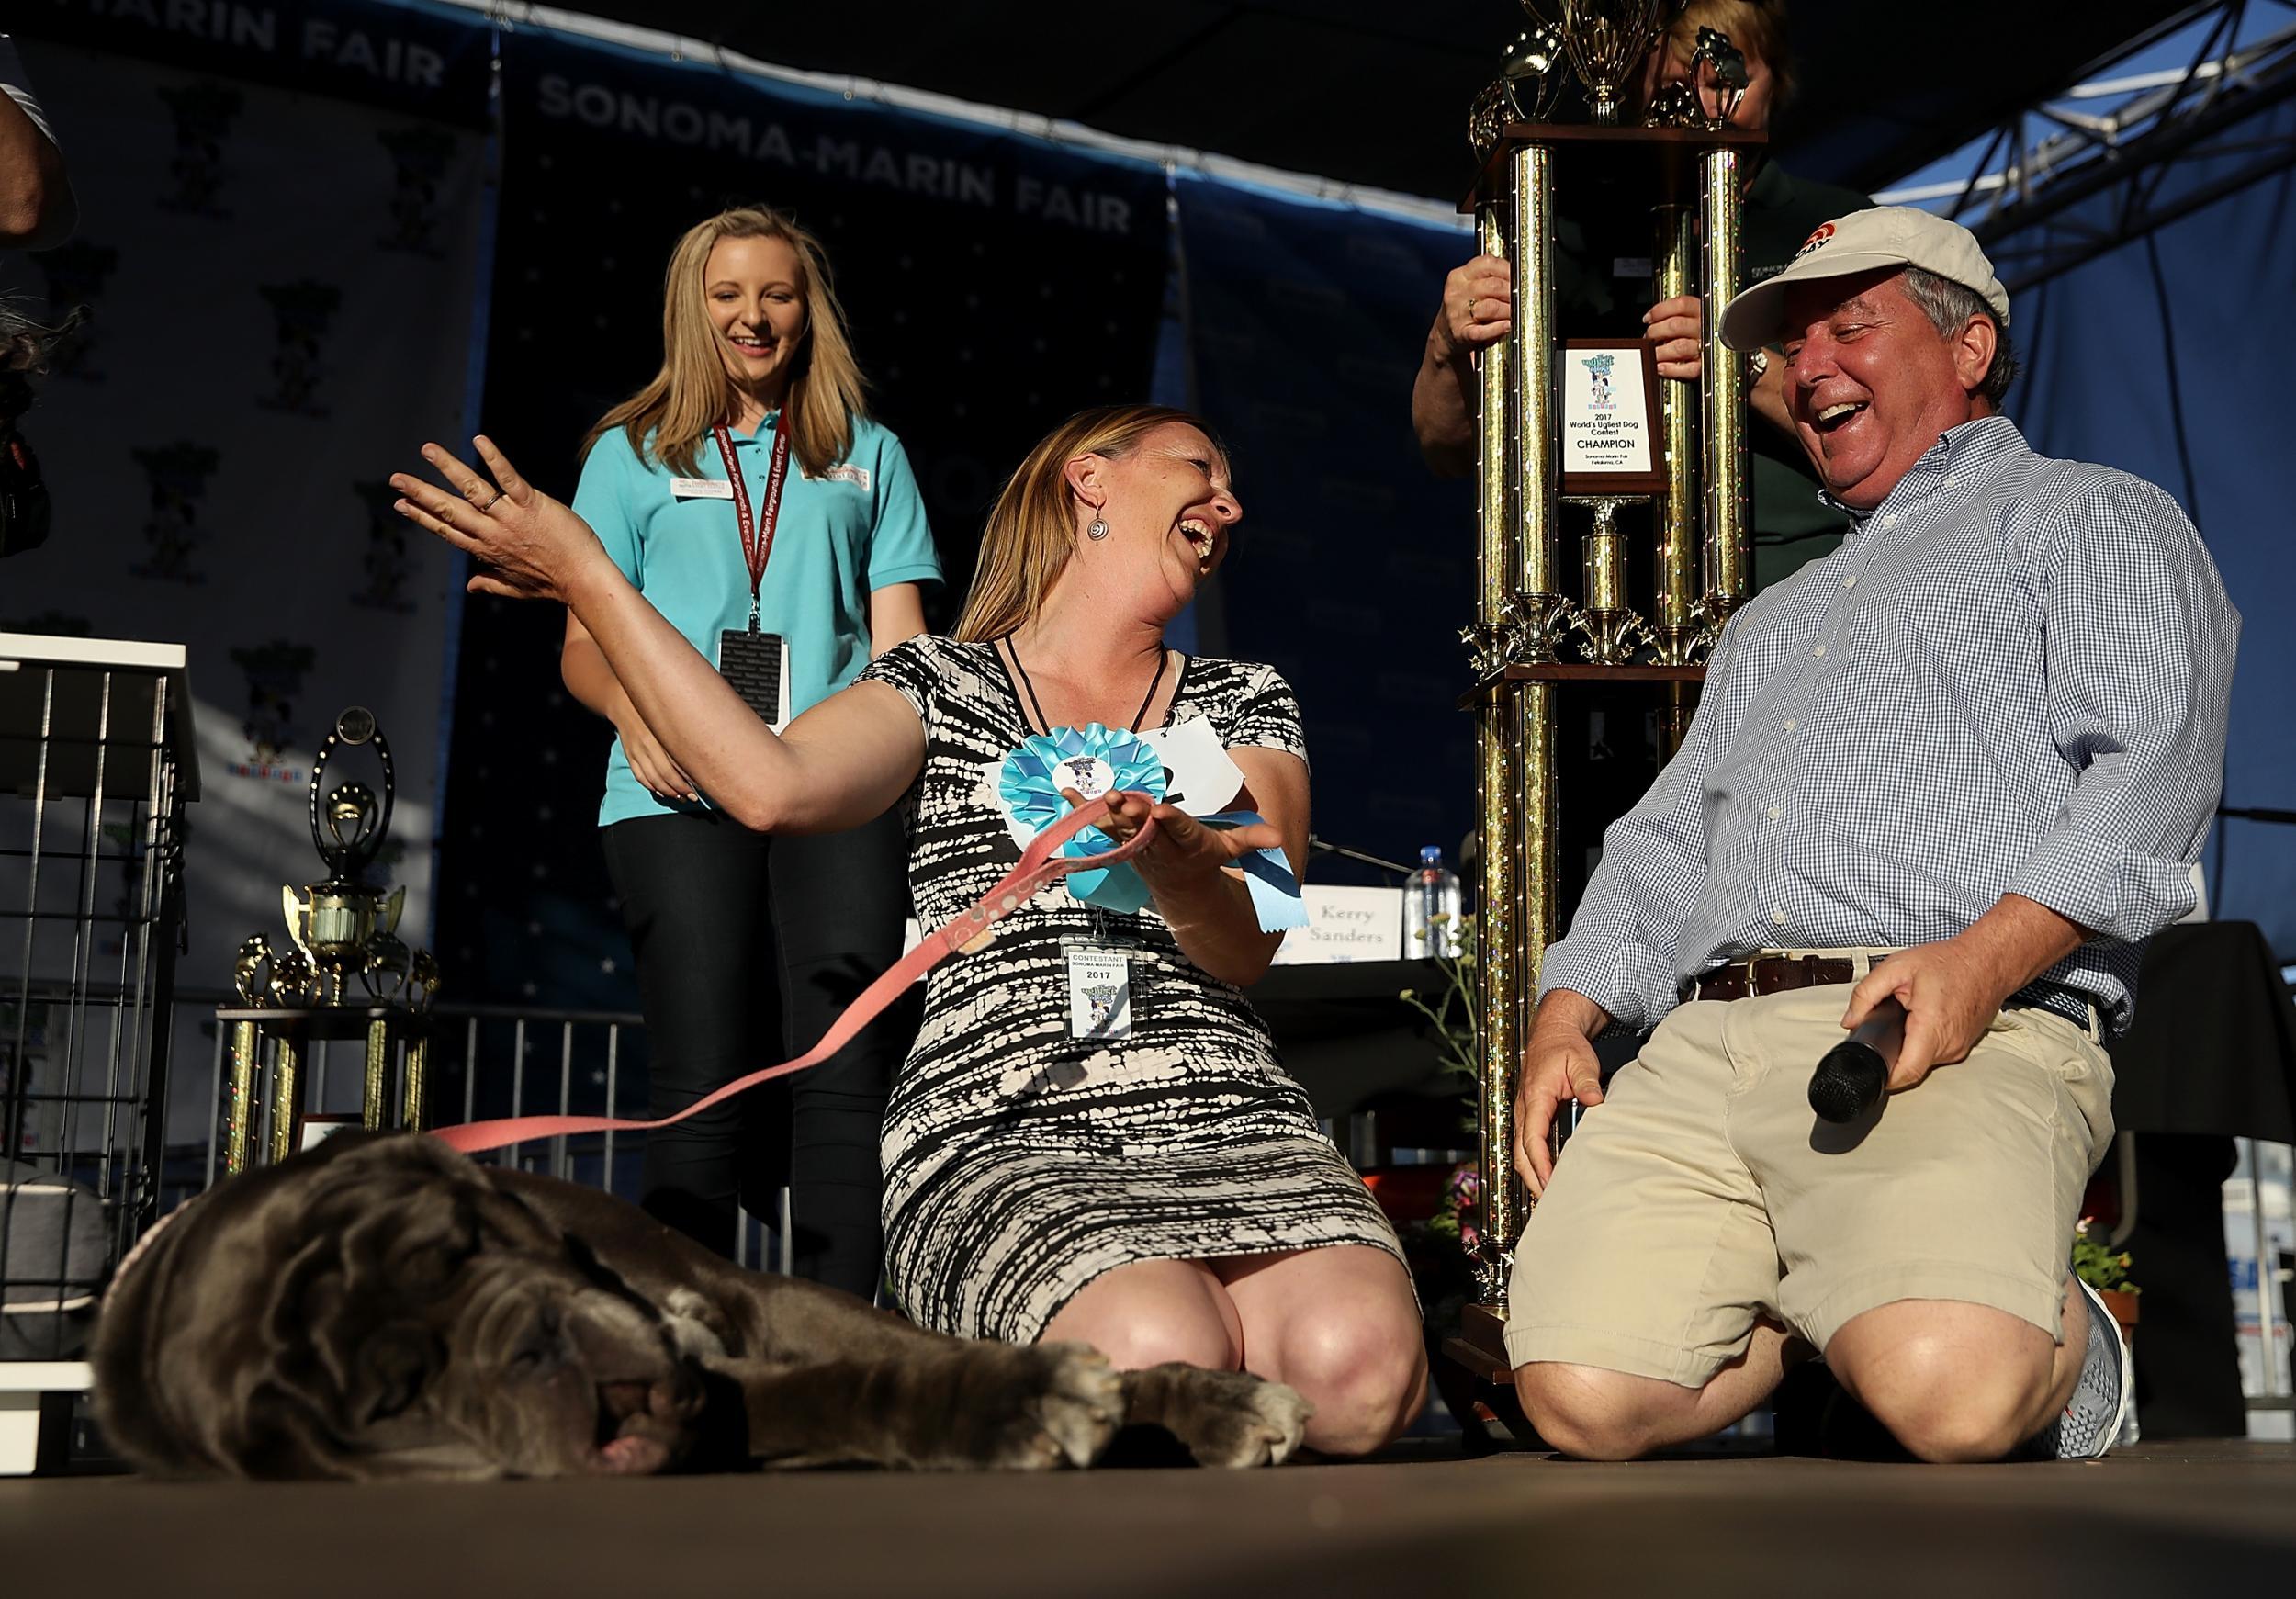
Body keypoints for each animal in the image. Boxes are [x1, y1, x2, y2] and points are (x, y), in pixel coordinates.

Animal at [94, 1130, 1313, 1479]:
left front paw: (1204, 1402)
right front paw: (1014, 1404)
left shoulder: (774, 1299)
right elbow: (874, 1387)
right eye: (397, 1397)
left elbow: (905, 1348)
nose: (536, 1345)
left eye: (463, 1247)